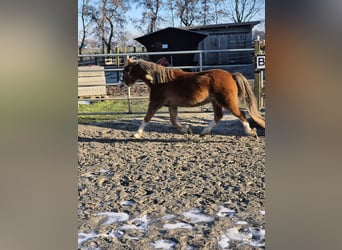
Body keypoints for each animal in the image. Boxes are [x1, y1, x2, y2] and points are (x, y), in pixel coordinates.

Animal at [121, 57, 266, 138]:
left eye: (126, 71)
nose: (123, 83)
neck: (158, 80)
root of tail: (230, 74)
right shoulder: (172, 106)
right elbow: (173, 121)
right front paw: (186, 129)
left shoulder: (155, 103)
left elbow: (147, 118)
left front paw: (136, 134)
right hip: (216, 102)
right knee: (218, 116)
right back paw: (204, 132)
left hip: (227, 102)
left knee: (241, 114)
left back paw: (250, 132)